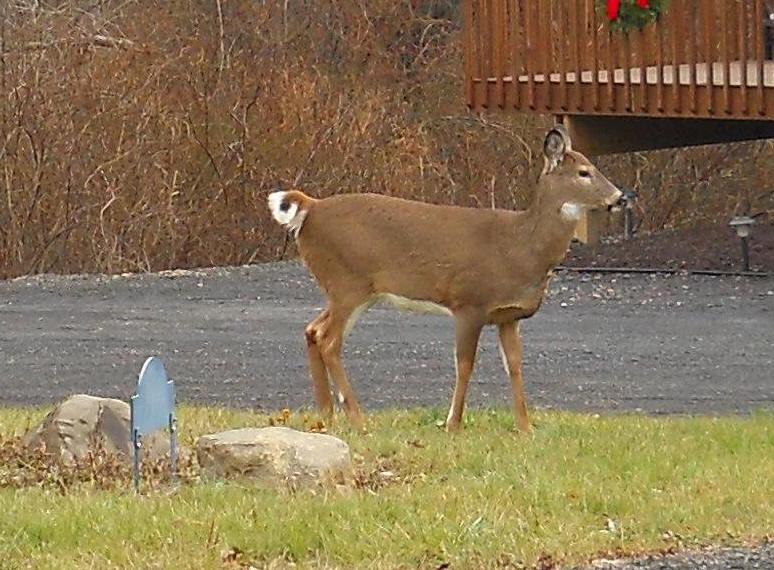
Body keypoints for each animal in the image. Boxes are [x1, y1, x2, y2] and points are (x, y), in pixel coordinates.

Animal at [267, 125, 621, 433]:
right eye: (584, 172)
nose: (620, 197)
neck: (519, 247)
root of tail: (310, 209)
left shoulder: (508, 316)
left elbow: (516, 365)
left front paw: (525, 428)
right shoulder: (468, 303)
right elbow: (465, 364)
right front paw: (453, 424)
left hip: (352, 289)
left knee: (313, 330)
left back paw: (326, 415)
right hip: (348, 282)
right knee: (329, 340)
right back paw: (357, 418)